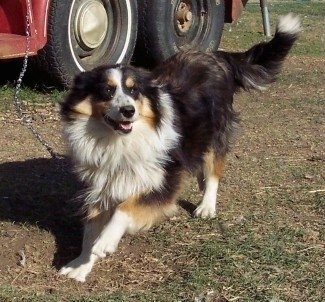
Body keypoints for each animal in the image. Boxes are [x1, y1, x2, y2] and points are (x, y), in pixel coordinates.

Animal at [58, 14, 298, 282]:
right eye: (106, 91)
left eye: (134, 90)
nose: (128, 111)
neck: (117, 140)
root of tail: (216, 56)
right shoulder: (102, 183)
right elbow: (91, 229)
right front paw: (81, 265)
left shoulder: (163, 181)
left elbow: (124, 208)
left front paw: (105, 242)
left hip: (215, 133)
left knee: (214, 170)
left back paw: (207, 205)